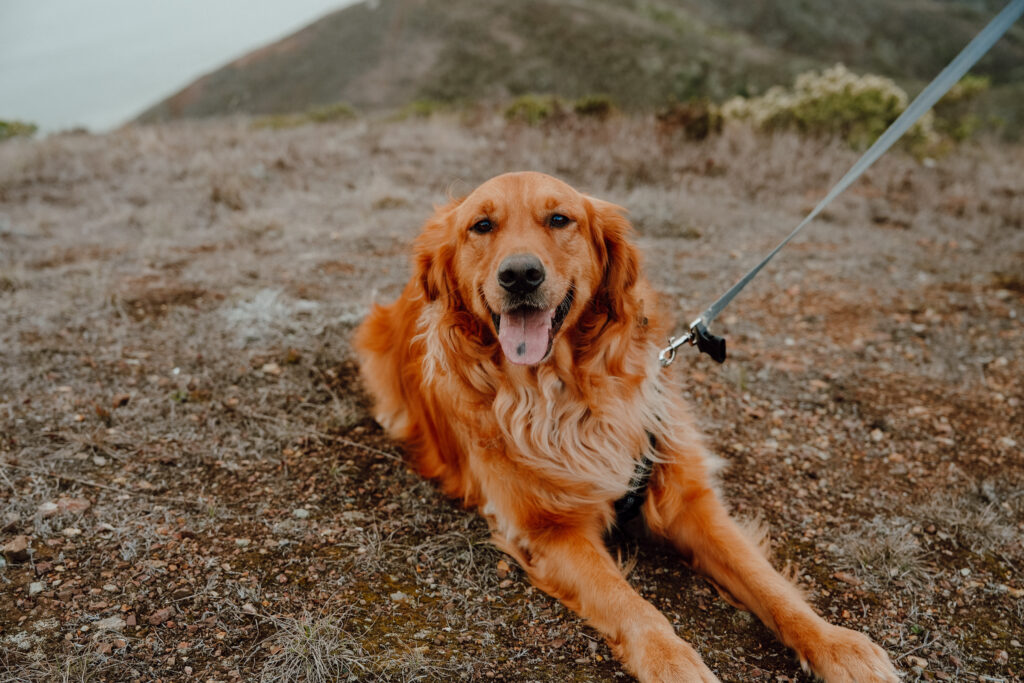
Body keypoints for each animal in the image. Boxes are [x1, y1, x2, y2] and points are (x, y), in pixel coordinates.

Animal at [354, 174, 897, 679]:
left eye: (560, 219)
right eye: (481, 226)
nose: (521, 275)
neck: (569, 393)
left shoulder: (686, 495)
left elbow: (766, 581)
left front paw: (836, 645)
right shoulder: (550, 530)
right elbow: (628, 600)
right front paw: (670, 661)